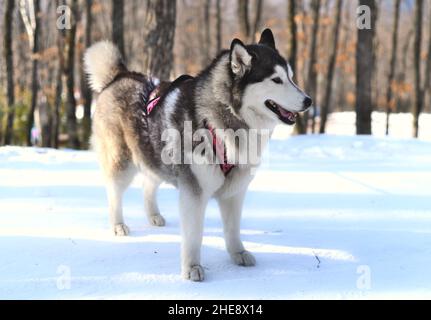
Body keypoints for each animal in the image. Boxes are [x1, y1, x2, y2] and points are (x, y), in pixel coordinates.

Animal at [84, 29, 312, 280]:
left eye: (291, 77)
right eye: (276, 80)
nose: (308, 101)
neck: (224, 120)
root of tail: (120, 75)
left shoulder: (235, 190)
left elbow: (232, 229)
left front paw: (238, 253)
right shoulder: (194, 192)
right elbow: (194, 236)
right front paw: (192, 267)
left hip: (155, 156)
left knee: (148, 184)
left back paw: (154, 216)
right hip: (122, 162)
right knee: (114, 193)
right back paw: (118, 225)